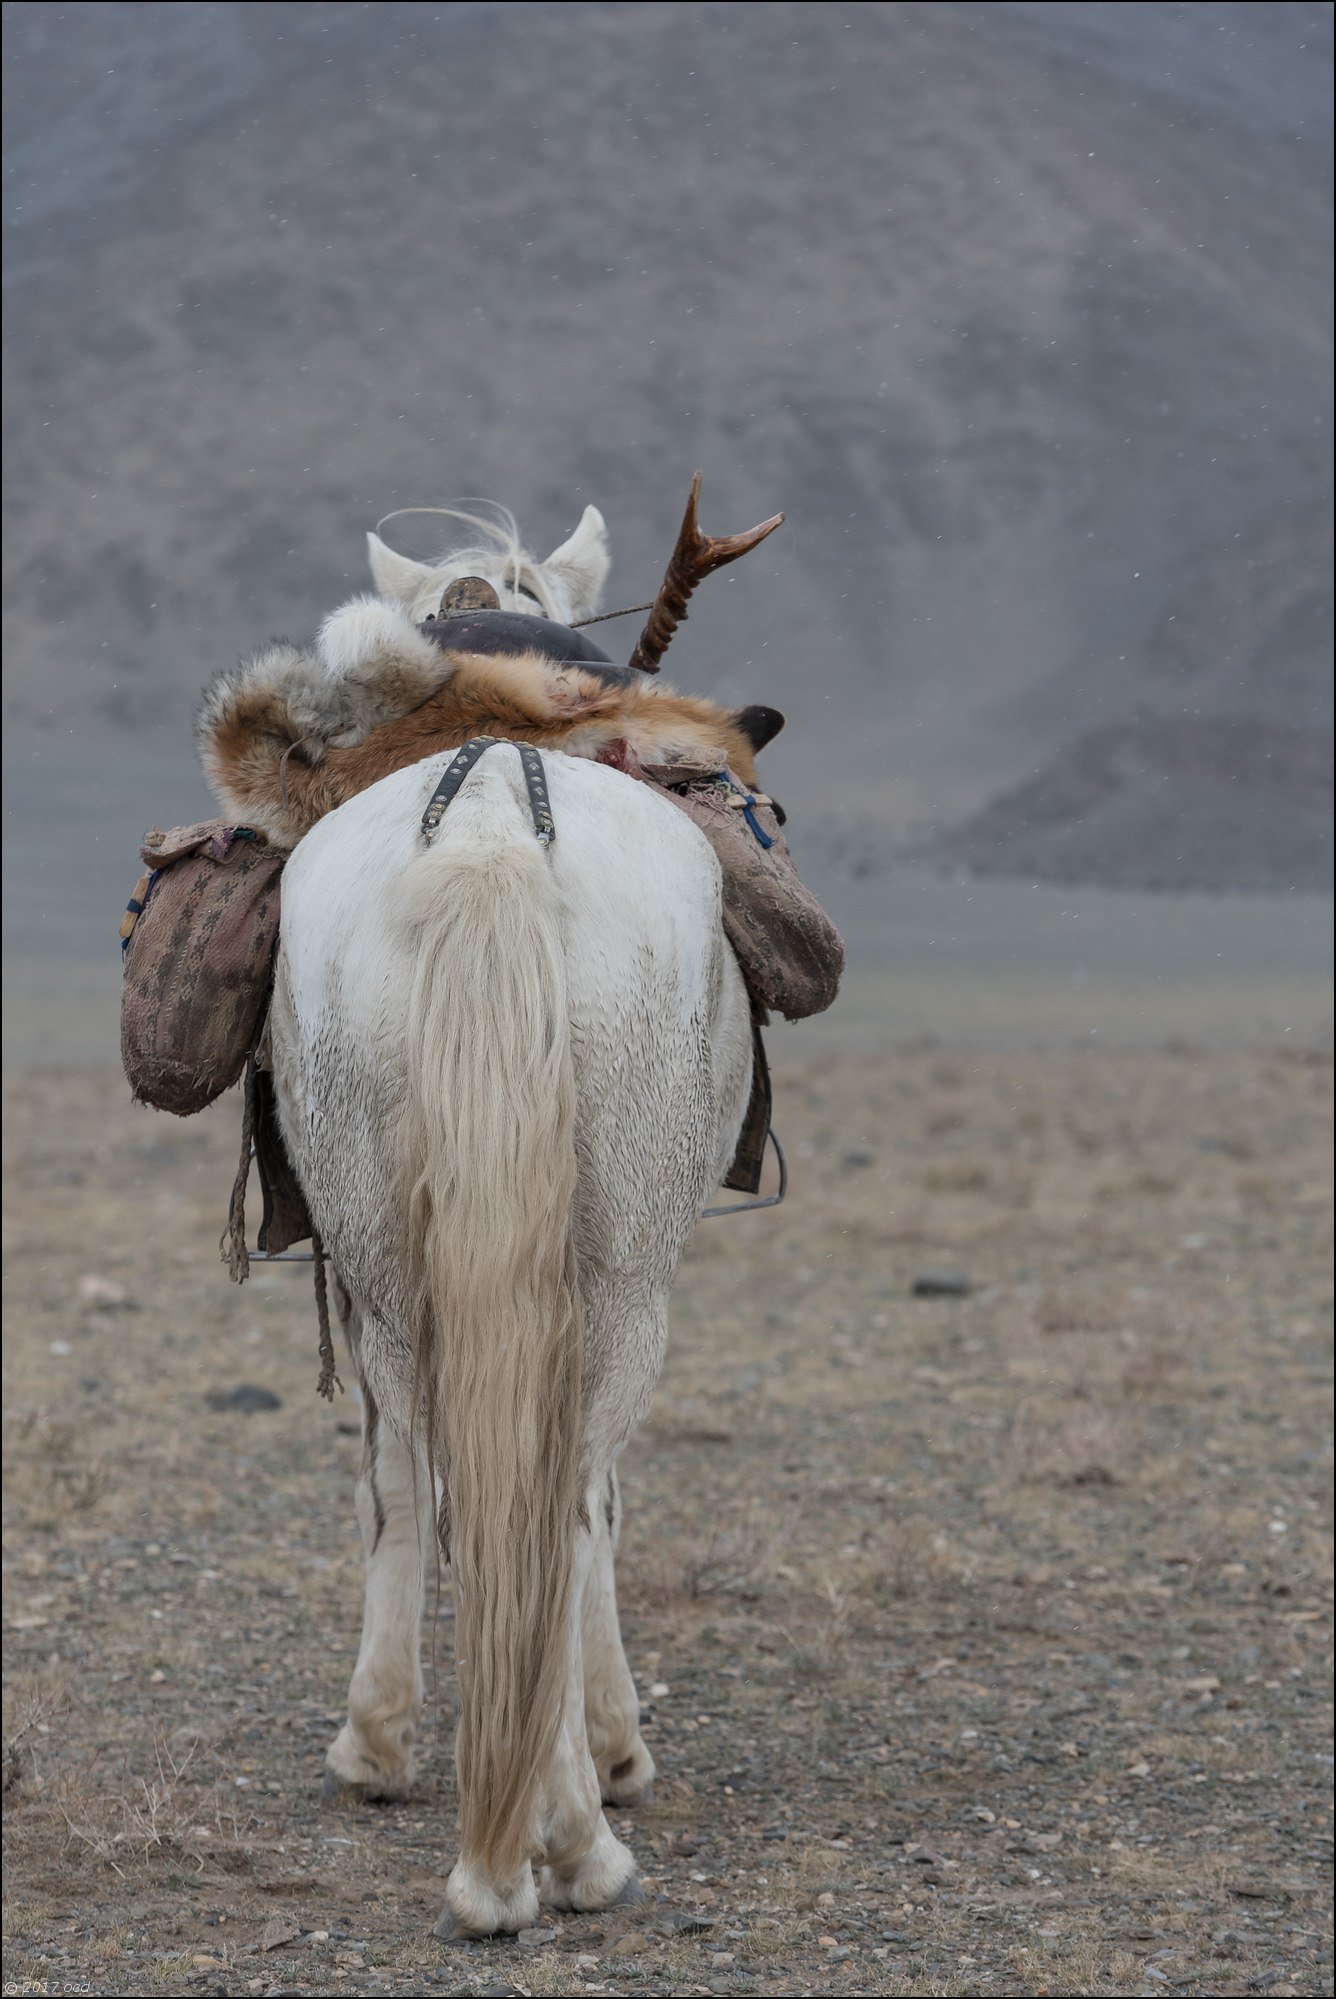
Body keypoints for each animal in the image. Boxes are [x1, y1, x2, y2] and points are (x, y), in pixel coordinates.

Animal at [266, 507, 756, 1943]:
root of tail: (488, 821)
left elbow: (395, 1483)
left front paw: (379, 1741)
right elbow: (595, 1508)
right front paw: (612, 1745)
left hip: (383, 1257)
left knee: (426, 1473)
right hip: (622, 1279)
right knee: (559, 1497)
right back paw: (567, 1842)